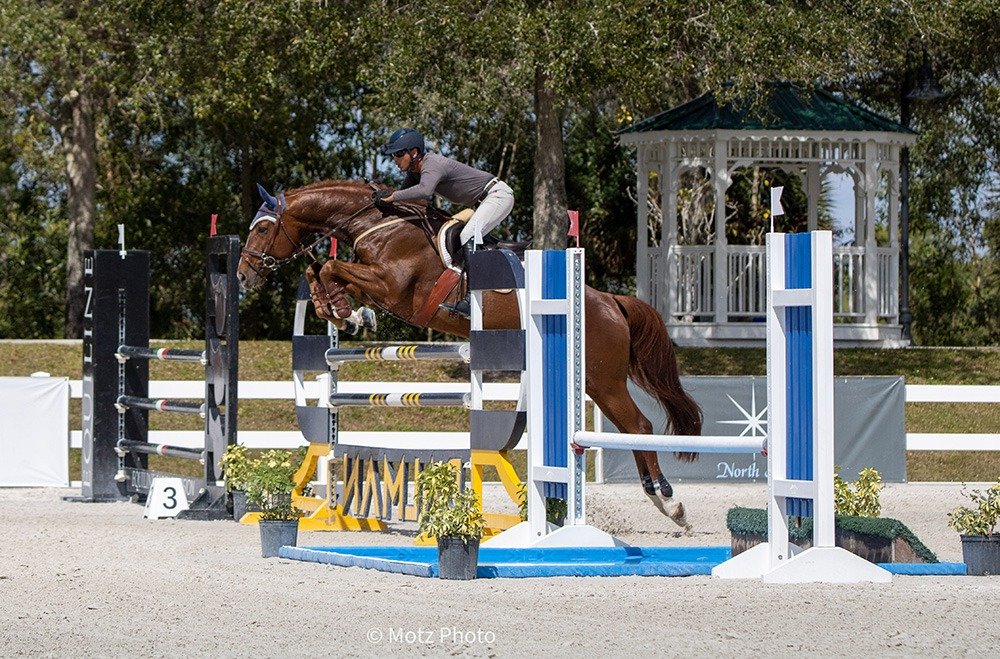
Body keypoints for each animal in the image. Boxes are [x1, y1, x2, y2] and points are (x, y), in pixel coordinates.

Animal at [237, 179, 703, 530]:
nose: (243, 275)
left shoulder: (392, 285)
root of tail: (608, 301)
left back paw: (669, 502)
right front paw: (344, 313)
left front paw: (347, 311)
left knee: (638, 425)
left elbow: (332, 268)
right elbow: (319, 270)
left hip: (604, 379)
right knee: (630, 428)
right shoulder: (375, 283)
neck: (375, 223)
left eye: (261, 229)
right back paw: (665, 503)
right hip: (593, 382)